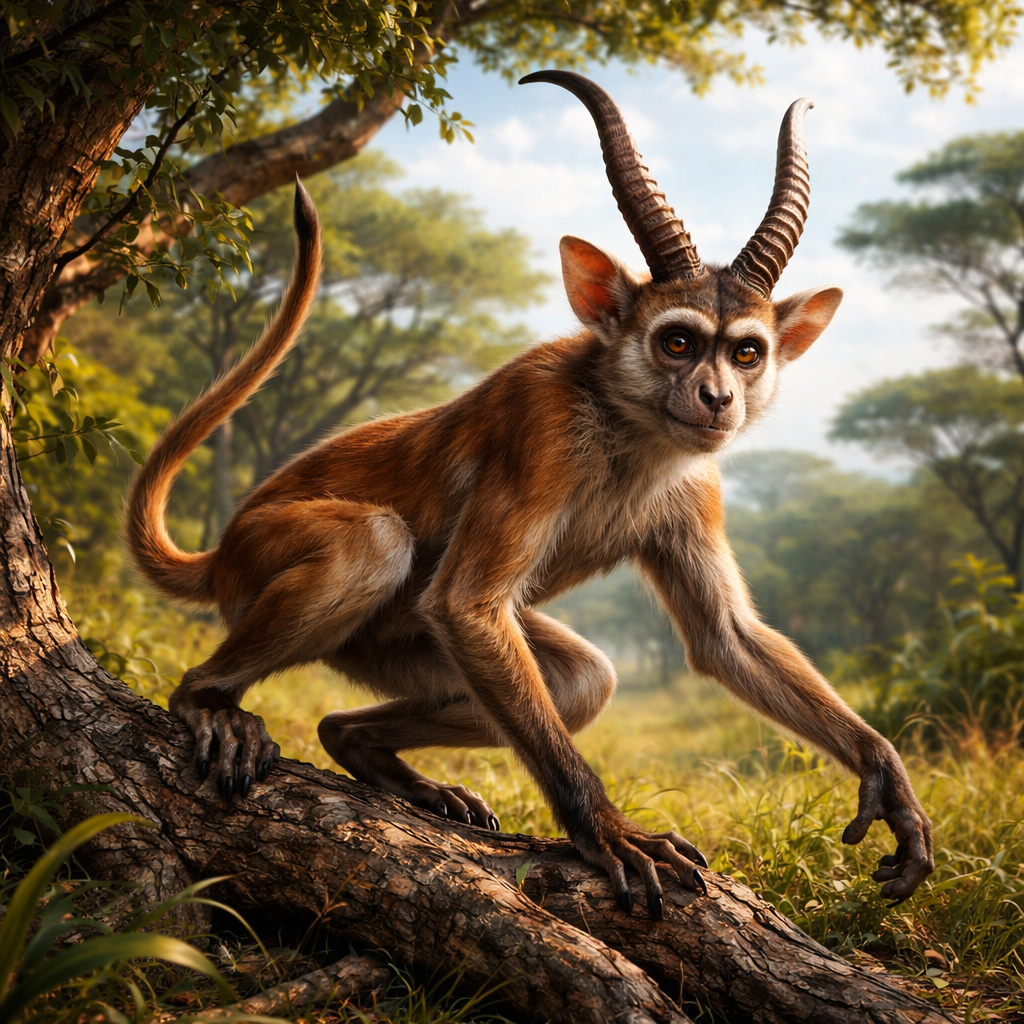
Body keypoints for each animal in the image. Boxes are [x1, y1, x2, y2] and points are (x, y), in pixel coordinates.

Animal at [126, 70, 934, 920]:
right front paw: (611, 832)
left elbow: (726, 638)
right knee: (369, 549)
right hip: (272, 566)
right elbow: (467, 606)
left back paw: (366, 749)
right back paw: (210, 703)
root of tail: (222, 549)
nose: (718, 399)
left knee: (578, 682)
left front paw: (885, 773)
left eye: (747, 352)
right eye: (678, 341)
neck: (625, 432)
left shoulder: (699, 483)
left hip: (386, 650)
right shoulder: (540, 429)